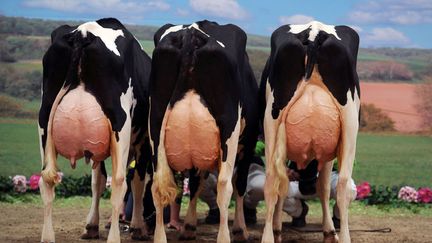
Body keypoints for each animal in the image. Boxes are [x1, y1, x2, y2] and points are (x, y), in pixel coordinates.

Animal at [37, 18, 152, 242]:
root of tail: (83, 32)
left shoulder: (96, 147)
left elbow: (96, 181)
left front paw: (91, 225)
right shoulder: (142, 140)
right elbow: (137, 181)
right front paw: (138, 227)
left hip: (44, 118)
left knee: (46, 178)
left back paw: (47, 237)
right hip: (121, 123)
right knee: (119, 182)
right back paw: (115, 237)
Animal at [147, 19, 258, 242]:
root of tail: (191, 32)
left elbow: (195, 183)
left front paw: (189, 226)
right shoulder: (248, 143)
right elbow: (240, 185)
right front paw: (241, 230)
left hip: (155, 124)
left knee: (157, 186)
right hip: (229, 129)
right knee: (224, 185)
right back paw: (225, 237)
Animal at [260, 21, 362, 243]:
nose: (305, 187)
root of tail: (314, 30)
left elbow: (288, 185)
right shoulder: (328, 154)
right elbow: (322, 187)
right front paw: (329, 230)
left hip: (273, 122)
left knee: (272, 179)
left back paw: (269, 236)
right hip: (350, 126)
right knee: (342, 183)